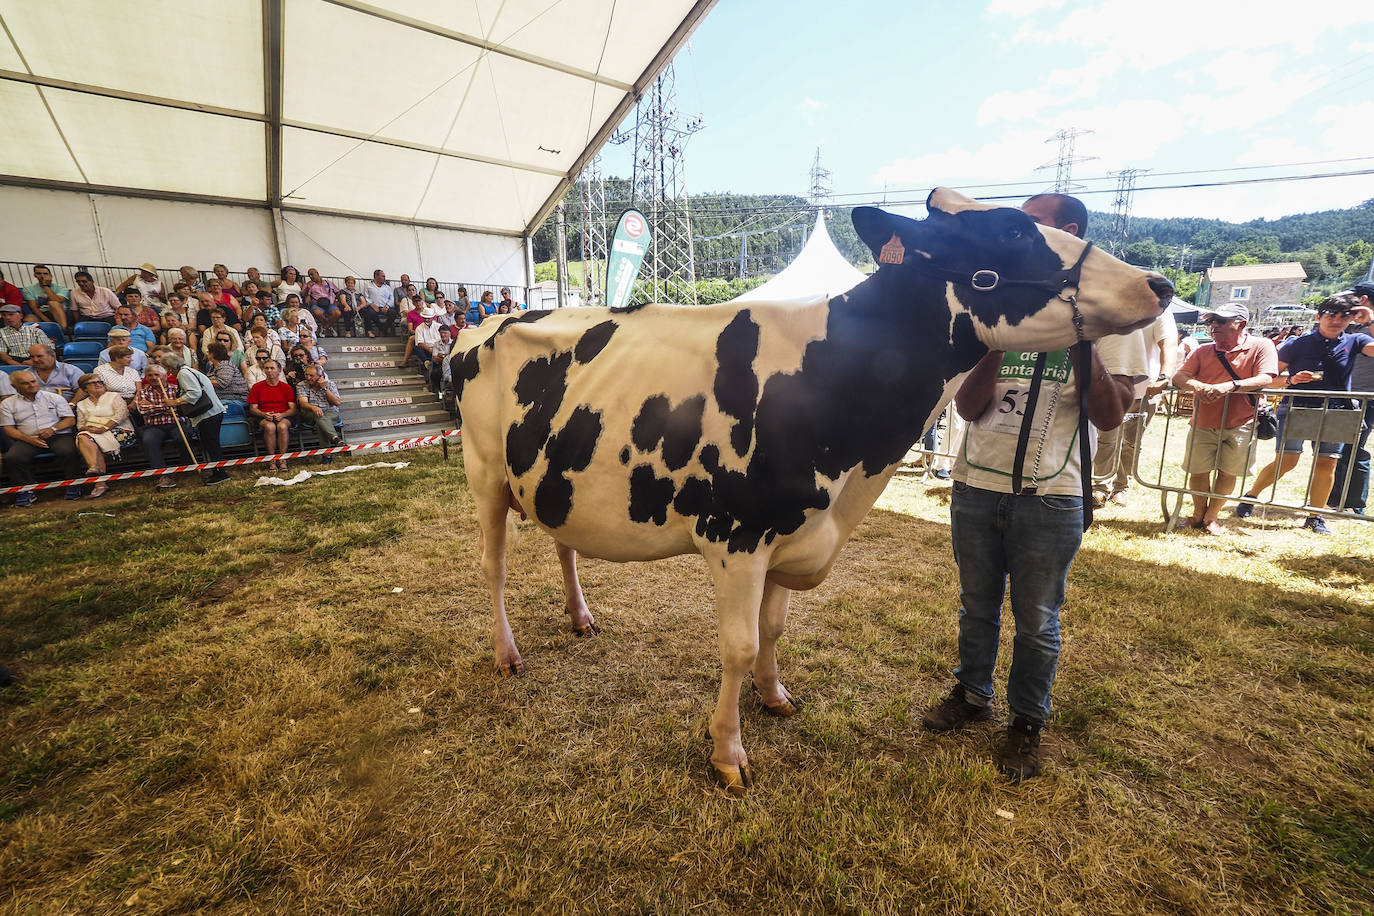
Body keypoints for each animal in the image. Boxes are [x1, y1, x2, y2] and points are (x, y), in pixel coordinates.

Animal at [453, 188, 1170, 796]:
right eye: (1014, 231)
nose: (1158, 284)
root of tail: (489, 319)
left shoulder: (788, 534)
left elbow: (773, 630)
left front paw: (774, 698)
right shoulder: (736, 537)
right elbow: (739, 646)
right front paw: (728, 754)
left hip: (552, 478)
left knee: (563, 543)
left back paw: (579, 617)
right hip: (484, 473)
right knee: (491, 567)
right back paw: (506, 653)